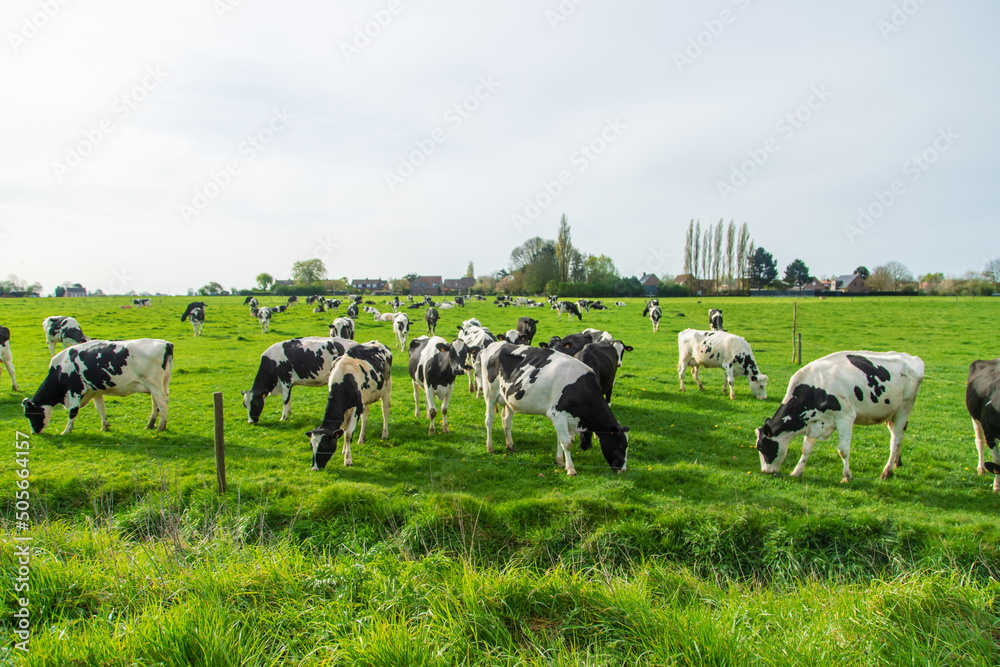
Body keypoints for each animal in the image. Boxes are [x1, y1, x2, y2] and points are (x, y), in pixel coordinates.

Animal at [20, 340, 173, 438]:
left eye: (29, 414)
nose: (34, 433)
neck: (60, 371)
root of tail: (165, 343)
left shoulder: (75, 392)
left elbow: (73, 412)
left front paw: (66, 431)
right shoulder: (95, 391)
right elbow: (101, 408)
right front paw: (104, 426)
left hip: (154, 385)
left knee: (163, 404)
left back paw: (161, 427)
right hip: (153, 387)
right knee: (156, 405)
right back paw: (150, 425)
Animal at [306, 340, 392, 470]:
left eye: (324, 447)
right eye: (312, 446)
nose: (315, 468)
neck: (343, 380)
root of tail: (377, 342)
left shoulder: (356, 408)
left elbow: (347, 434)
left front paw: (347, 460)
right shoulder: (349, 409)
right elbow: (343, 430)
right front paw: (343, 450)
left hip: (386, 387)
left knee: (385, 412)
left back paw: (385, 435)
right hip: (364, 398)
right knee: (365, 417)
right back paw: (361, 439)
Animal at [480, 342, 628, 478]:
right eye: (621, 446)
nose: (623, 470)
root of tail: (496, 344)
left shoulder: (564, 418)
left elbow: (559, 440)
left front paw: (560, 462)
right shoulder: (558, 414)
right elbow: (566, 443)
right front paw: (571, 469)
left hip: (508, 400)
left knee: (507, 422)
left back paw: (510, 446)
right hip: (490, 394)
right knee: (489, 421)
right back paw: (490, 447)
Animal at [752, 352, 924, 482]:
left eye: (761, 447)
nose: (765, 471)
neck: (814, 388)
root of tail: (912, 357)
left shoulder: (846, 418)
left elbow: (843, 450)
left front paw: (847, 477)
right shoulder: (815, 422)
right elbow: (806, 449)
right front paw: (796, 472)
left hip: (904, 408)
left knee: (895, 439)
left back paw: (887, 472)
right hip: (891, 414)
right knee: (899, 436)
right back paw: (896, 463)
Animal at [964, 360, 1000, 490]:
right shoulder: (989, 433)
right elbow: (997, 461)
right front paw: (997, 486)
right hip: (975, 419)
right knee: (979, 442)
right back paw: (981, 469)